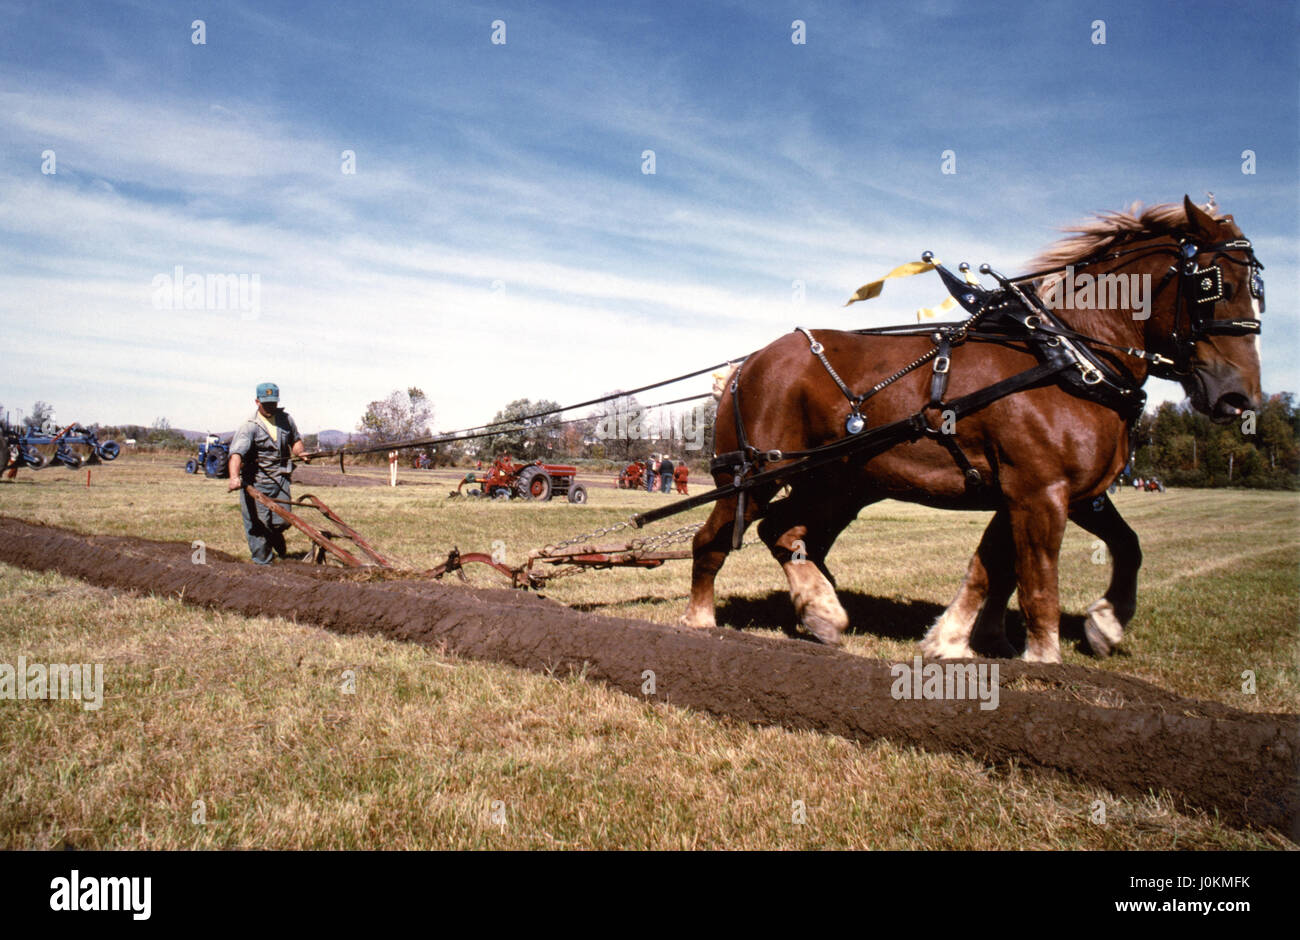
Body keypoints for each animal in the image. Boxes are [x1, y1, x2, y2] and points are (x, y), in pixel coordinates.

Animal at [681, 197, 1264, 663]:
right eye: (1215, 284)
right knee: (713, 540)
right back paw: (702, 622)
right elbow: (1035, 580)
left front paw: (1079, 628)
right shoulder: (1038, 491)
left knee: (786, 534)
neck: (1070, 360)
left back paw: (822, 611)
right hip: (751, 475)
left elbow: (1015, 564)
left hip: (840, 482)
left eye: (1259, 291)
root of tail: (749, 364)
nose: (1239, 398)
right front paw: (1044, 660)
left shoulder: (1063, 493)